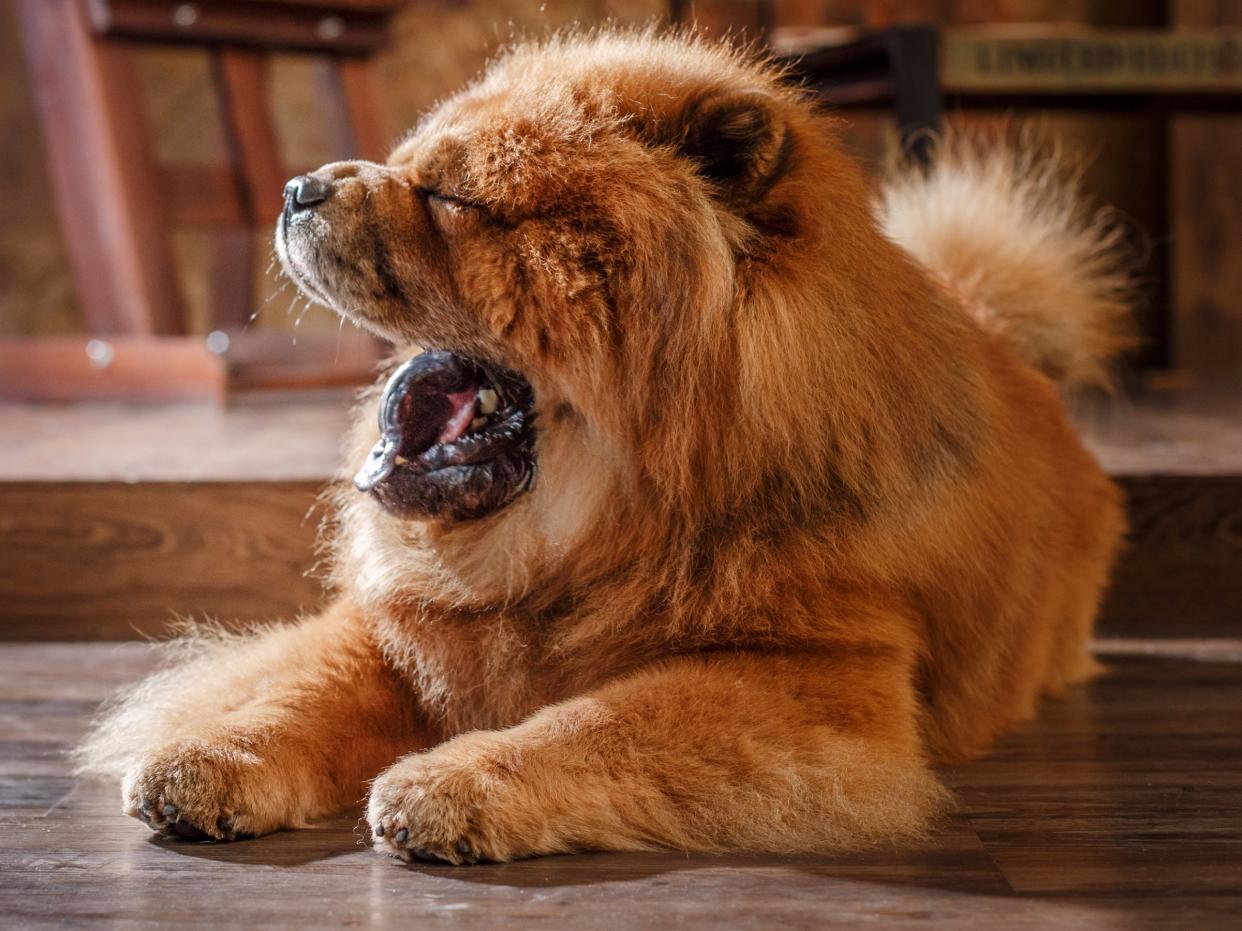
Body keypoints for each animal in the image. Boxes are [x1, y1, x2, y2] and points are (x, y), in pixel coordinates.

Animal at [77, 31, 1132, 868]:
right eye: (405, 161)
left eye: (450, 195)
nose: (298, 188)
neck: (600, 533)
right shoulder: (407, 625)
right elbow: (297, 693)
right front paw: (206, 760)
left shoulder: (817, 676)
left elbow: (594, 719)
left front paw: (449, 784)